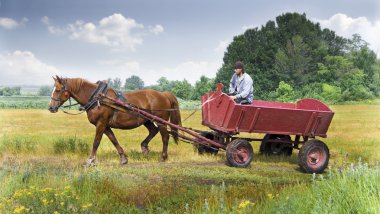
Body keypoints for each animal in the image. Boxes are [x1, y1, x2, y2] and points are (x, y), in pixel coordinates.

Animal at [48, 76, 182, 166]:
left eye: (58, 90)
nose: (51, 107)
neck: (98, 98)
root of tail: (164, 94)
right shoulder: (105, 125)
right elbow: (114, 139)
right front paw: (123, 159)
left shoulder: (101, 123)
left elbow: (96, 142)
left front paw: (90, 160)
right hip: (147, 120)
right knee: (153, 131)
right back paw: (144, 147)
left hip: (161, 122)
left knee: (165, 137)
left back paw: (163, 157)